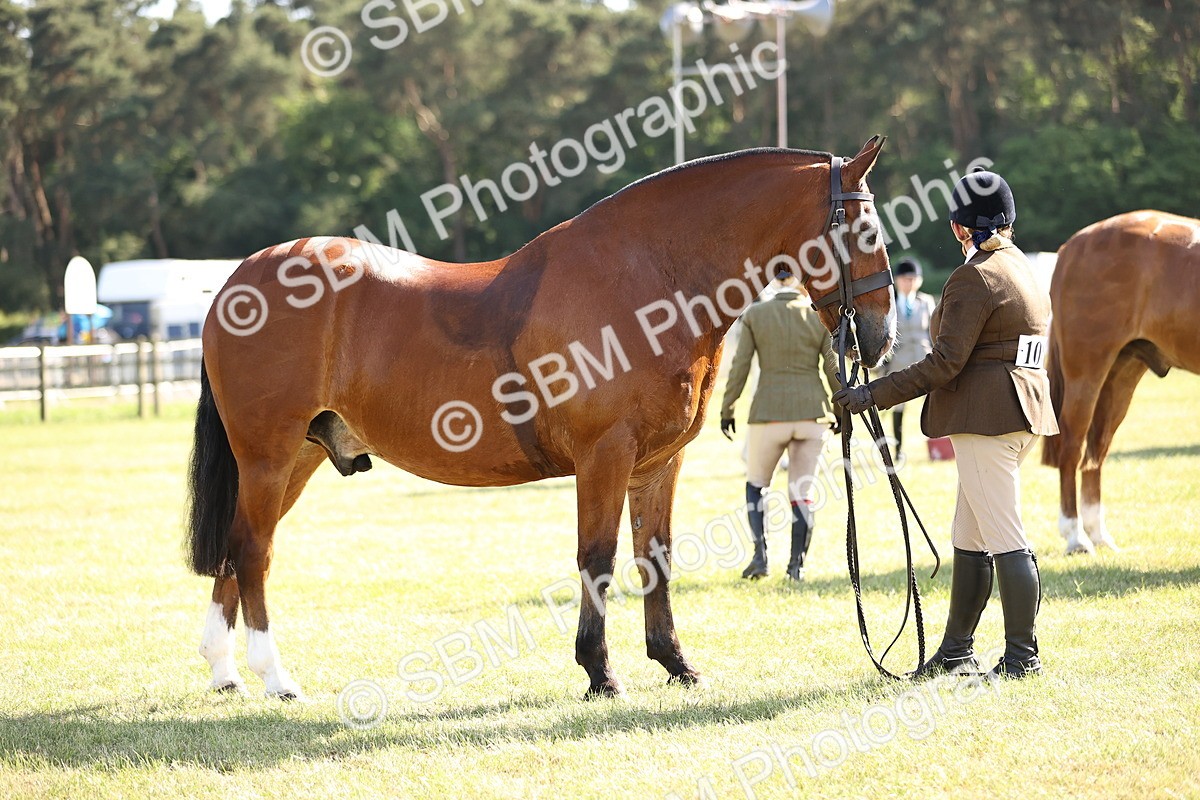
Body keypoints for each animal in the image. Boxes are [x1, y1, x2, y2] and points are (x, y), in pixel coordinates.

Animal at [186, 136, 896, 700]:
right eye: (866, 231)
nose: (882, 337)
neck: (648, 278)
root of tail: (237, 284)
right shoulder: (604, 455)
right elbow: (598, 557)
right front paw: (599, 672)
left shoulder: (659, 463)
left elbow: (656, 556)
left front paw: (675, 664)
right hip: (269, 455)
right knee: (252, 551)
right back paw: (275, 677)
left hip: (297, 458)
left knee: (237, 549)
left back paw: (225, 671)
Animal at [1042, 210, 1200, 554]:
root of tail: (1072, 246)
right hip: (1086, 371)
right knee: (1072, 447)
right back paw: (1075, 536)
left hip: (1120, 376)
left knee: (1096, 451)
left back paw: (1098, 534)